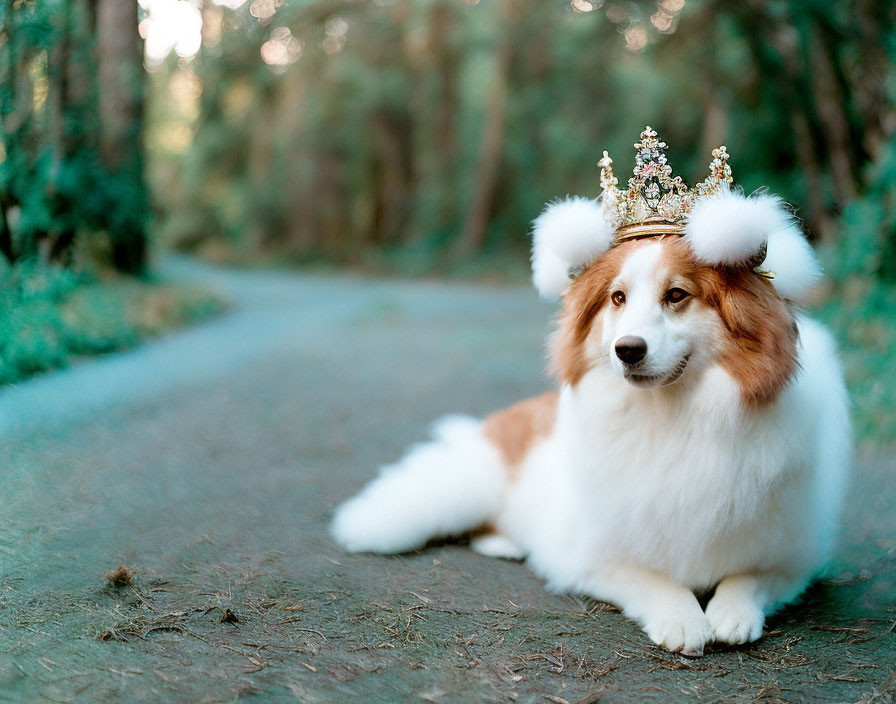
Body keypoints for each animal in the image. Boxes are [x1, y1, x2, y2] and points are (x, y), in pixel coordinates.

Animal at [332, 129, 852, 656]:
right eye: (617, 298)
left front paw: (731, 611)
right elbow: (652, 575)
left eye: (677, 295)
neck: (672, 417)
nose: (628, 351)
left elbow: (749, 575)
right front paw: (683, 617)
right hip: (466, 487)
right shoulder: (593, 555)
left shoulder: (790, 554)